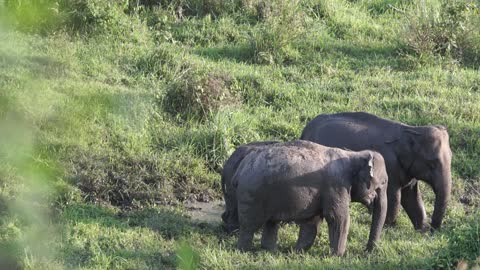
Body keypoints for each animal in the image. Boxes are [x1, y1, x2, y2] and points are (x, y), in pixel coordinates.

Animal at [234, 140, 388, 256]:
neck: (353, 154)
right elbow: (337, 217)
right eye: (384, 182)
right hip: (251, 196)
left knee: (271, 222)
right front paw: (338, 256)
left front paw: (297, 252)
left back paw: (270, 251)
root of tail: (241, 166)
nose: (366, 251)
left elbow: (311, 222)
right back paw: (243, 250)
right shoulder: (336, 185)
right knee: (249, 225)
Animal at [302, 111, 452, 230]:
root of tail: (305, 130)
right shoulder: (390, 166)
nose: (432, 230)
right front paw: (388, 228)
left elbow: (411, 197)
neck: (410, 130)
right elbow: (394, 197)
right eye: (432, 163)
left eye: (451, 157)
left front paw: (420, 230)